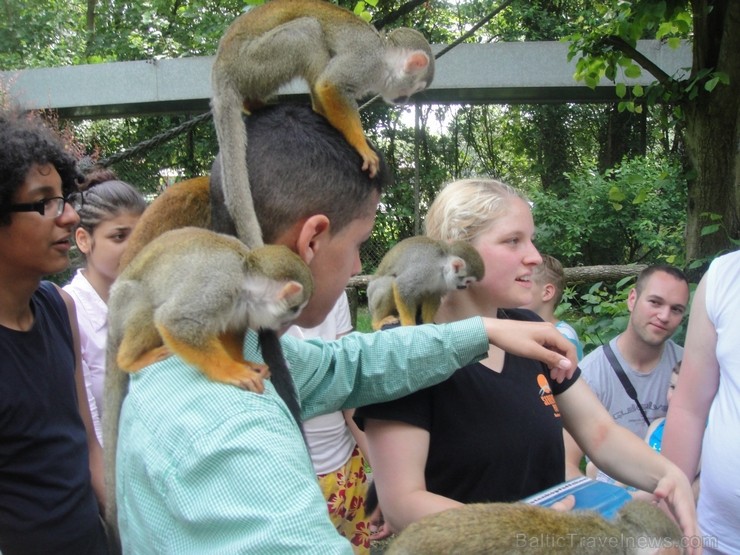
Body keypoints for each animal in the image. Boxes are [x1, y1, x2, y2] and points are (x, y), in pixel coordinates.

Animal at [104, 226, 312, 552]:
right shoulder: (220, 284)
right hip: (123, 304)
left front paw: (242, 363)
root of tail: (111, 323)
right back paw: (130, 359)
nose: (292, 319)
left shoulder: (239, 304)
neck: (246, 277)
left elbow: (229, 328)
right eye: (295, 307)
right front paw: (233, 372)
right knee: (149, 305)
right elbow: (177, 321)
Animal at [211, 0, 434, 249]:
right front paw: (361, 146)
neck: (384, 57)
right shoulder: (367, 60)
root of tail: (220, 70)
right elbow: (330, 85)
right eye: (415, 88)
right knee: (308, 32)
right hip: (252, 62)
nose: (404, 99)